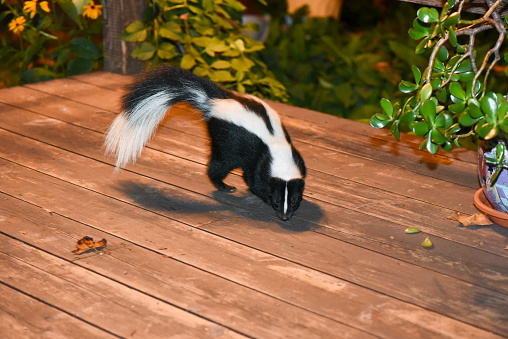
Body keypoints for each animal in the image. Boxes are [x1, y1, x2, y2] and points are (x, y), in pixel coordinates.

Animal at [105, 65, 306, 222]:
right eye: (277, 200)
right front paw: (260, 193)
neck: (278, 148)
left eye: (294, 200)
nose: (285, 216)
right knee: (218, 165)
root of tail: (213, 101)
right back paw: (225, 186)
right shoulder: (261, 159)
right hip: (225, 141)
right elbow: (254, 180)